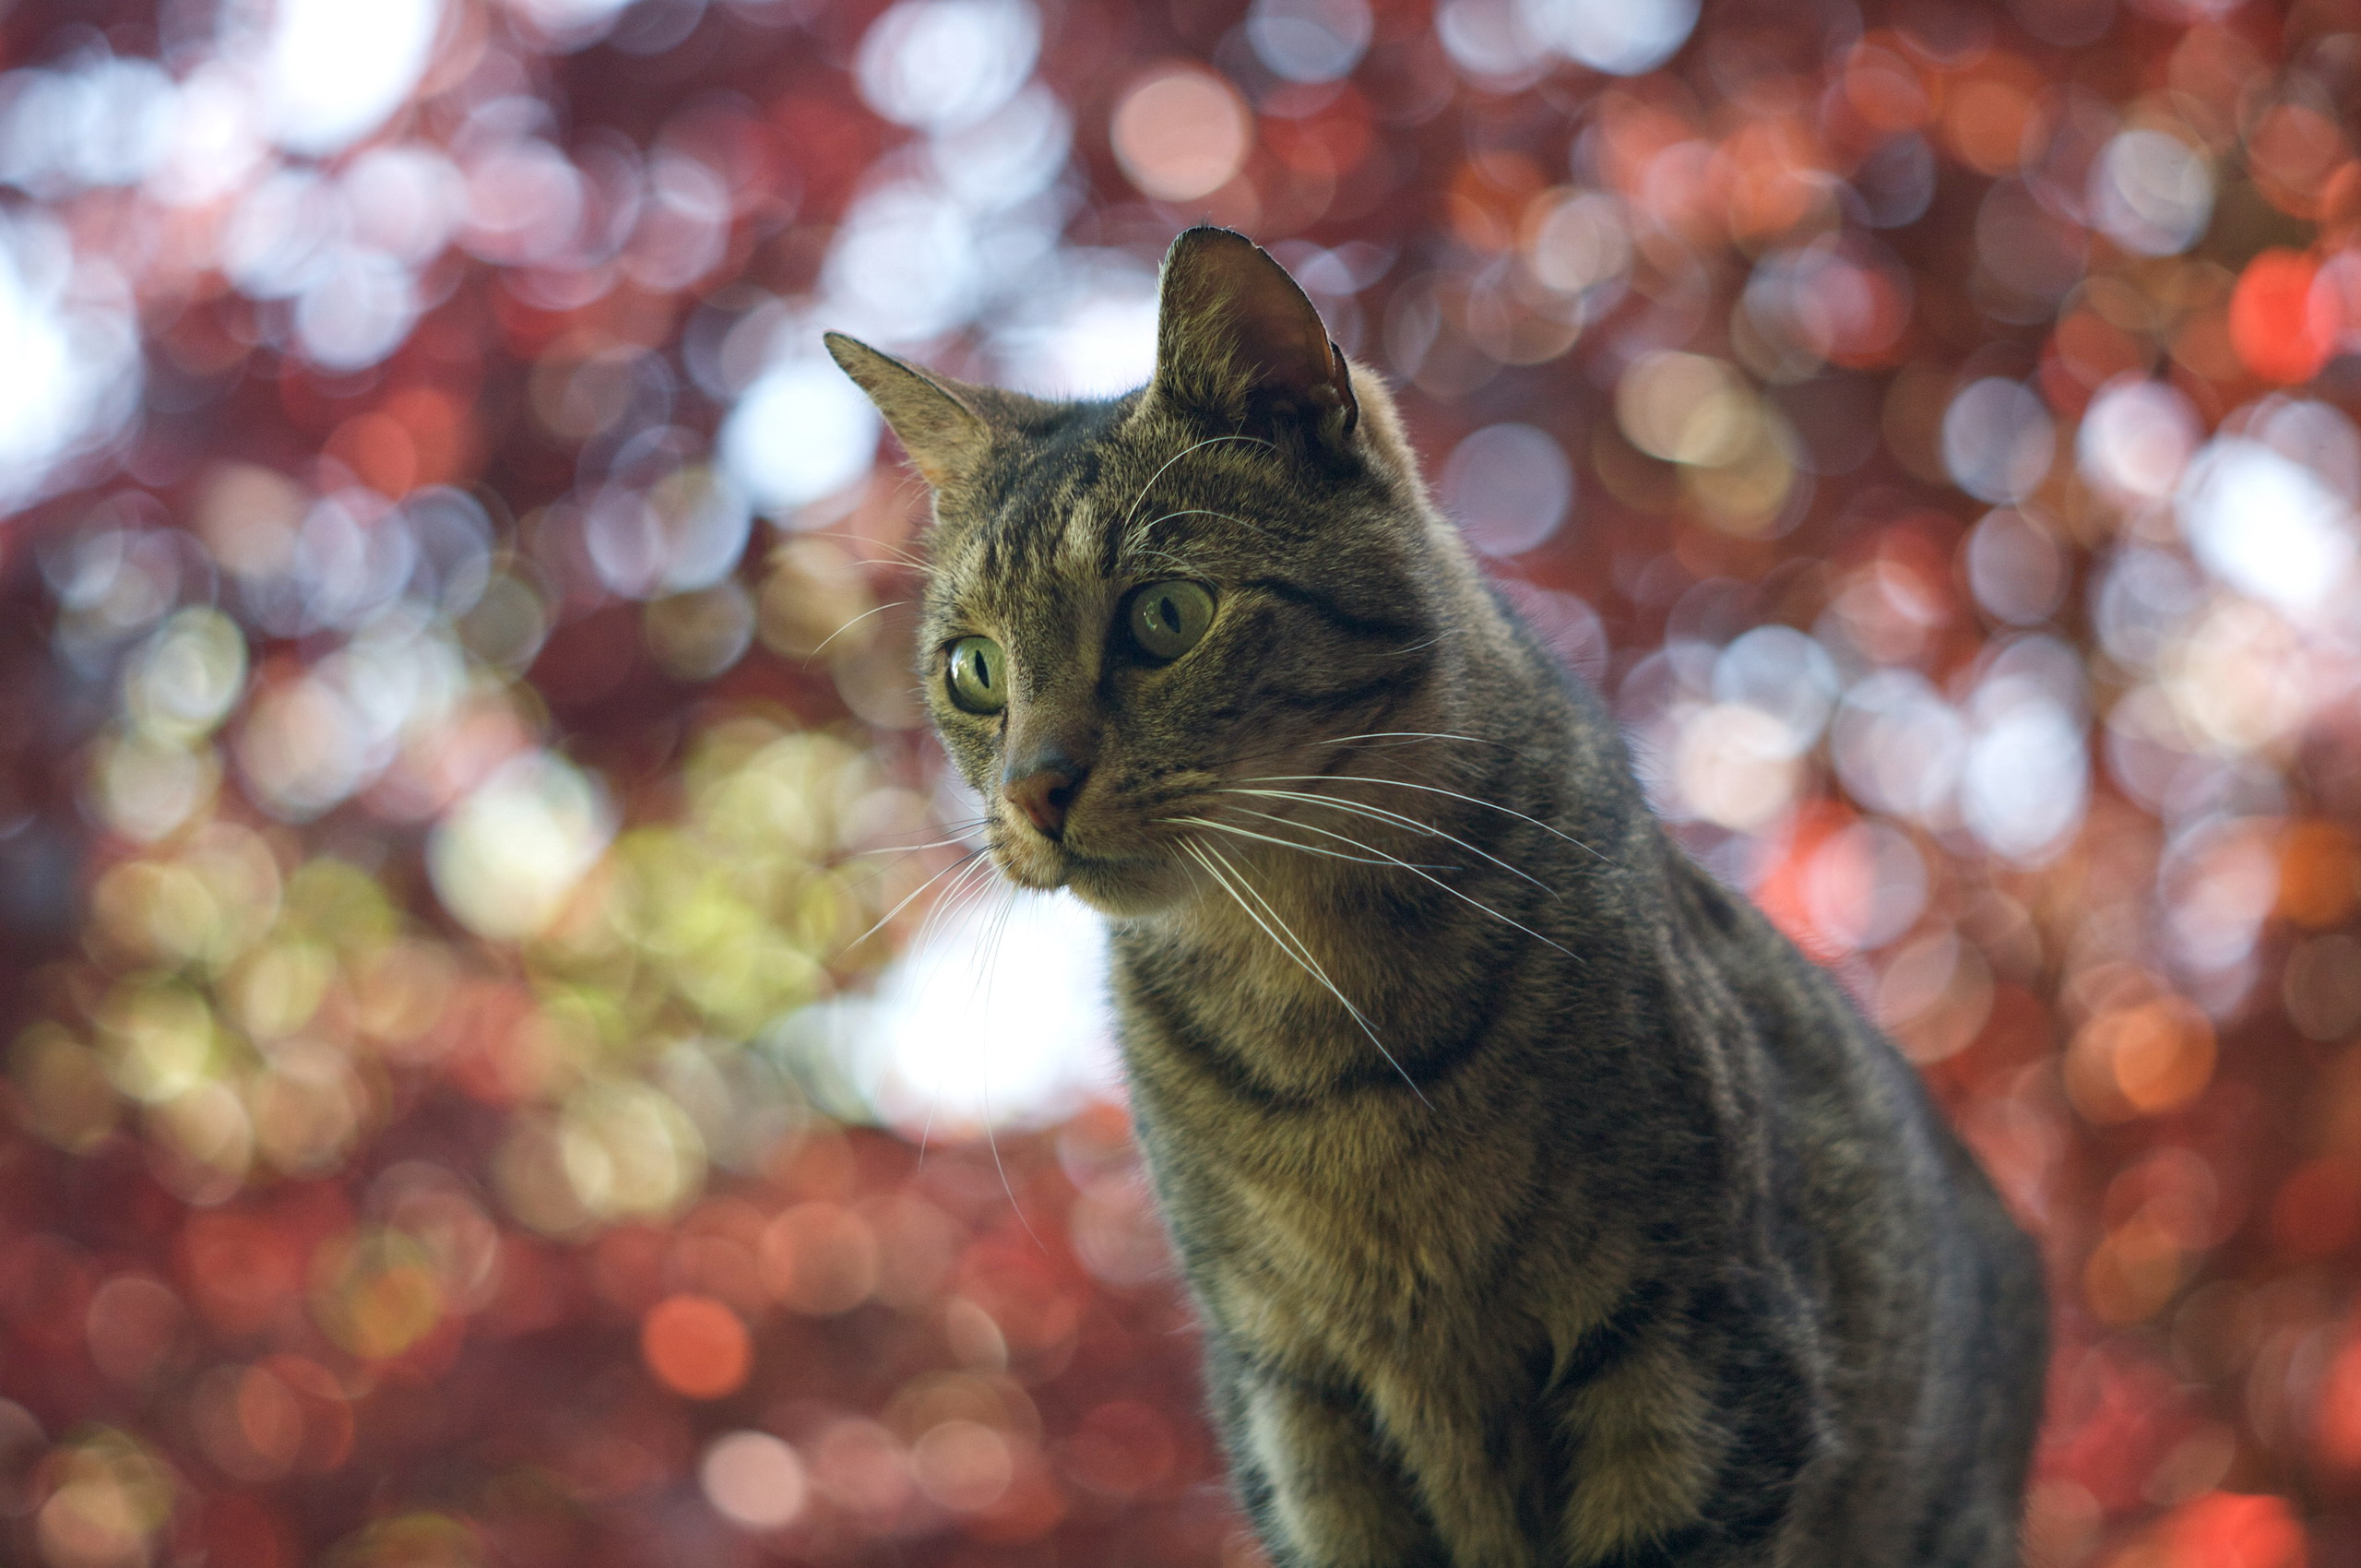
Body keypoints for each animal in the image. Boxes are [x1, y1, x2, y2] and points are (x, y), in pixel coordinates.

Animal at [831, 222, 2049, 1568]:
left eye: (1165, 615)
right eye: (974, 670)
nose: (1034, 789)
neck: (1317, 1016)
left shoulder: (1690, 1354)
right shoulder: (1295, 1408)